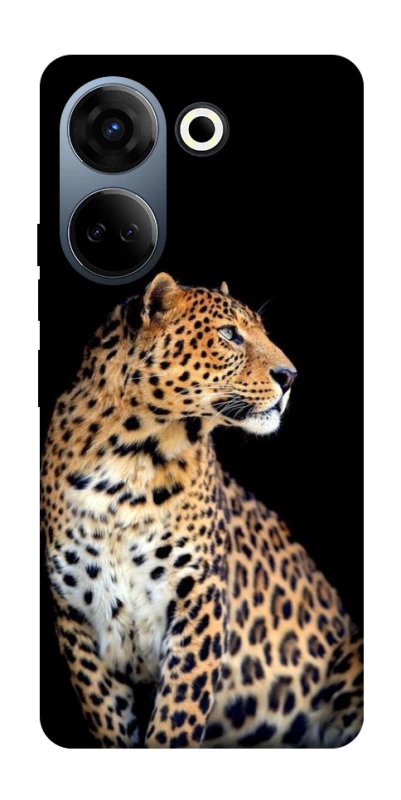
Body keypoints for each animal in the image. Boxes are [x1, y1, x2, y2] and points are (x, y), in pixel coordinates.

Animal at [41, 271, 363, 748]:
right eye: (229, 334)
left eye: (263, 332)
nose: (290, 376)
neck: (129, 460)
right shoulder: (75, 616)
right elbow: (111, 720)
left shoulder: (199, 598)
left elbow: (177, 717)